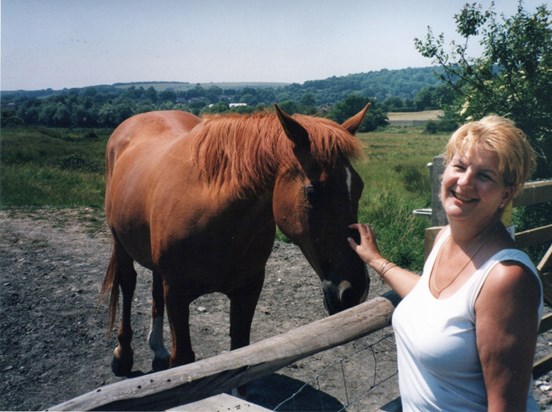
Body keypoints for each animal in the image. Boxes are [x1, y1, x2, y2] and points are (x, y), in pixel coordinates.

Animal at [103, 105, 370, 376]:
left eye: (359, 186)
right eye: (313, 191)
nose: (354, 291)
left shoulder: (248, 290)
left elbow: (240, 352)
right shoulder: (177, 294)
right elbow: (182, 360)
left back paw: (157, 349)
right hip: (120, 243)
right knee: (128, 284)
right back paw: (123, 355)